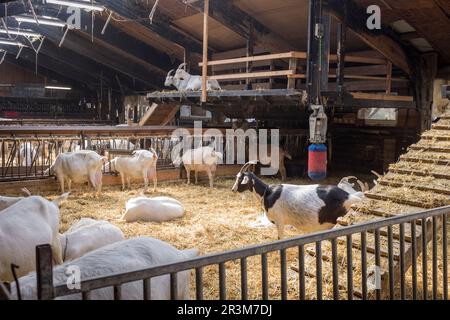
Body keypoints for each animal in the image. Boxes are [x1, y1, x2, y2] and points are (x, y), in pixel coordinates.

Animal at [230, 161, 368, 239]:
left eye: (240, 178)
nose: (233, 189)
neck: (267, 192)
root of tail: (350, 196)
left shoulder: (279, 221)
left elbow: (280, 238)